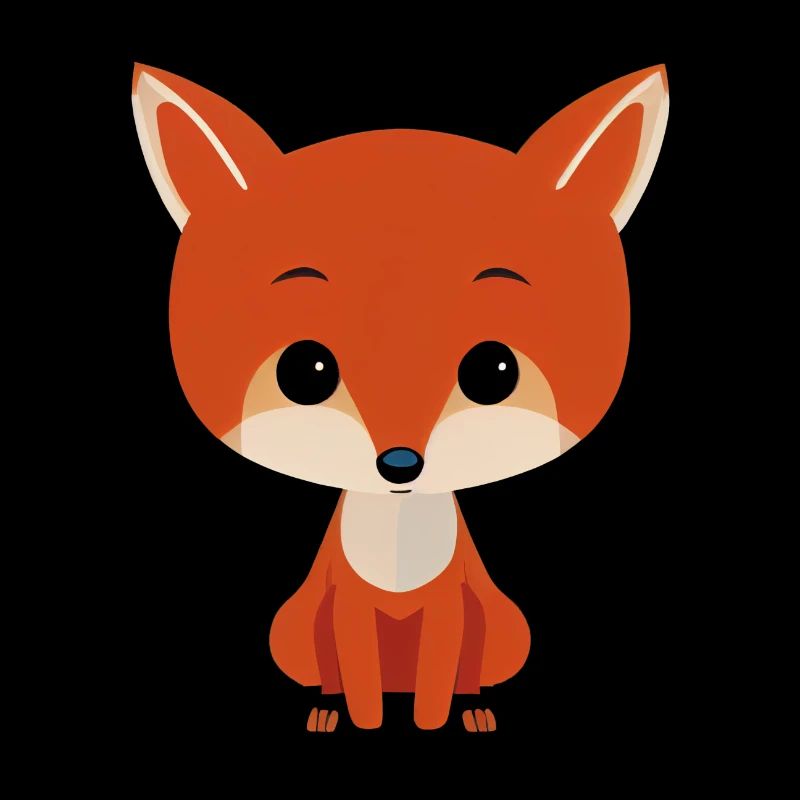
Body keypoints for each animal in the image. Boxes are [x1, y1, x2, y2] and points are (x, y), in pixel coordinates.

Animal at [132, 63, 668, 733]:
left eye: (494, 370)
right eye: (305, 371)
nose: (400, 464)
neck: (396, 543)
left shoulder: (450, 607)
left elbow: (441, 674)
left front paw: (435, 722)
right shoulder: (347, 607)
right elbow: (357, 673)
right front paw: (362, 721)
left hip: (506, 628)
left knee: (470, 670)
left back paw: (474, 710)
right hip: (292, 630)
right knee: (330, 671)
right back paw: (327, 710)